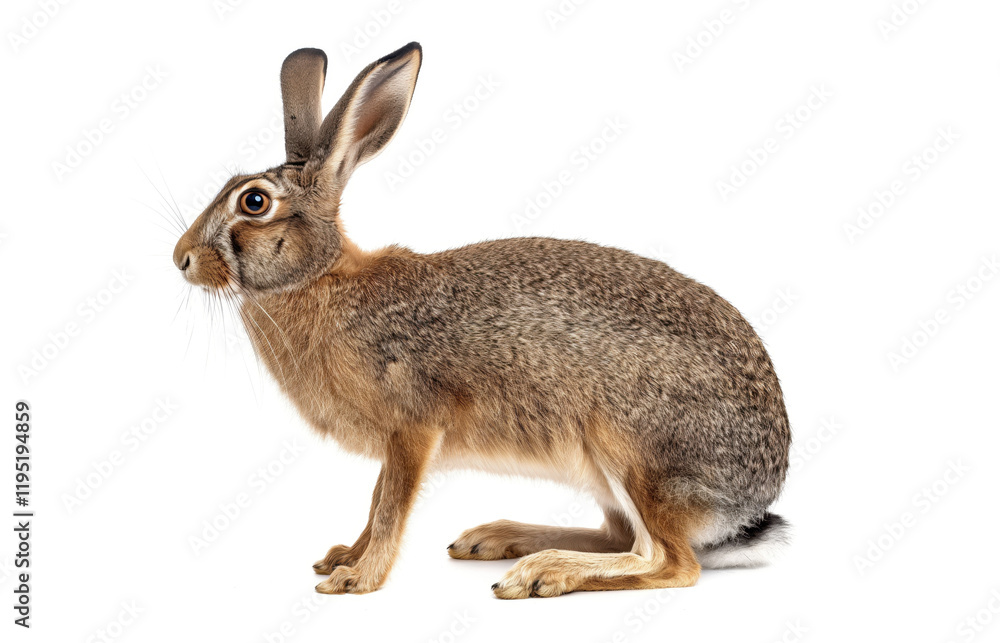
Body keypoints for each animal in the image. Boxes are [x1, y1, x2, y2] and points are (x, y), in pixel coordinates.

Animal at [172, 42, 791, 599]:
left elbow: (391, 505)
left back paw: (541, 572)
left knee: (669, 561)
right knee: (623, 538)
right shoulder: (397, 442)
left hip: (633, 451)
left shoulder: (414, 427)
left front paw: (358, 578)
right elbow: (376, 501)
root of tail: (751, 496)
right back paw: (497, 539)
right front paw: (344, 556)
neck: (321, 278)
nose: (181, 258)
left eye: (254, 203)